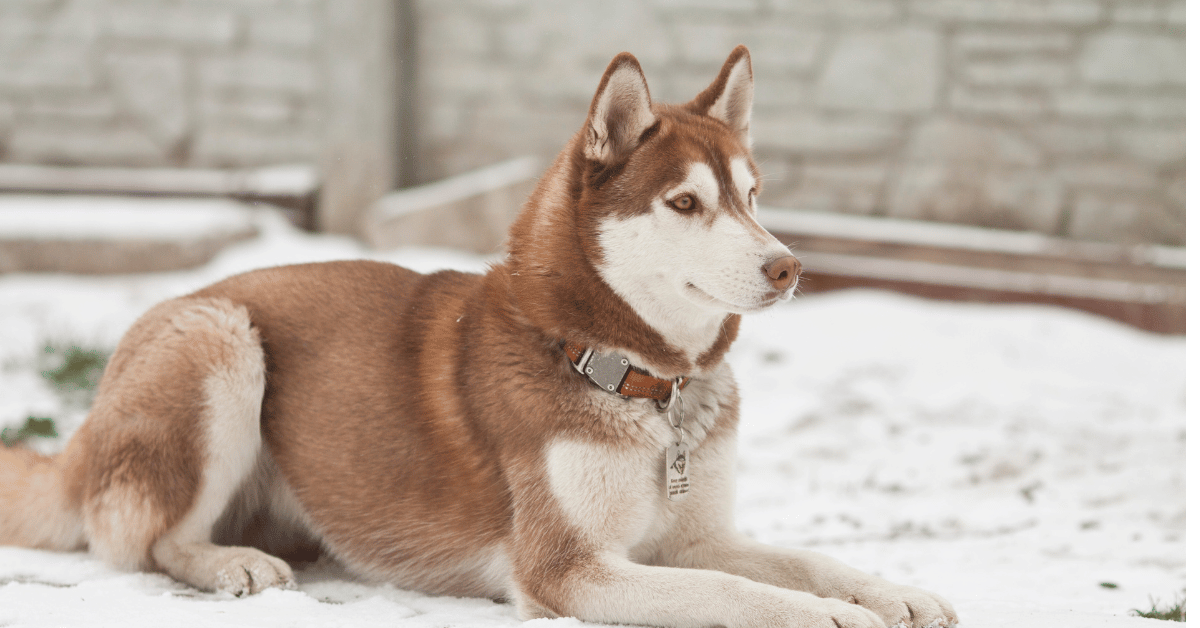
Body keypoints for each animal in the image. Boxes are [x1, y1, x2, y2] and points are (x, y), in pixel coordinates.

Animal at [0, 46, 955, 624]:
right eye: (686, 203)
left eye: (753, 197)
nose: (789, 267)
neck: (633, 377)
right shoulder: (568, 569)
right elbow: (729, 589)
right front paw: (826, 616)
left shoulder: (693, 536)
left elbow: (802, 558)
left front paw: (889, 593)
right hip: (222, 342)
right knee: (145, 540)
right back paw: (228, 562)